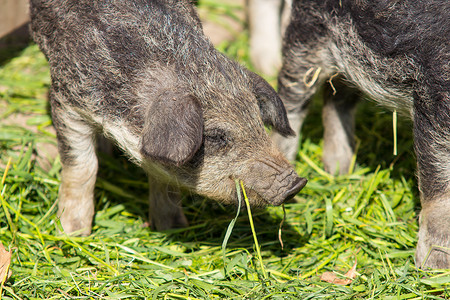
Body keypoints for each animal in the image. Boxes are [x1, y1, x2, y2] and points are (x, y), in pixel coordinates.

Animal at [29, 0, 308, 234]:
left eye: (258, 121)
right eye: (216, 136)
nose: (296, 183)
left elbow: (164, 178)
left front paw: (173, 228)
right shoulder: (68, 100)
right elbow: (83, 167)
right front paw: (72, 234)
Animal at [270, 0, 450, 268]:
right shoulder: (435, 94)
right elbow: (439, 184)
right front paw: (434, 268)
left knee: (336, 96)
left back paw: (341, 171)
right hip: (308, 32)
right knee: (292, 93)